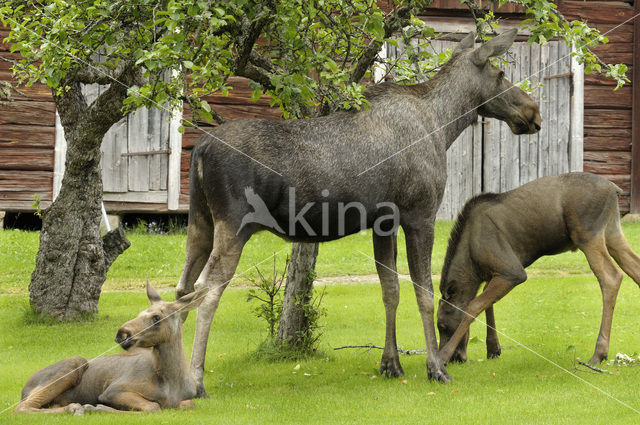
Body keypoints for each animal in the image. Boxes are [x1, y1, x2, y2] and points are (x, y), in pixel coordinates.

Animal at [15, 284, 205, 412]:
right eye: (139, 314)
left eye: (157, 317)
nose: (122, 333)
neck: (171, 380)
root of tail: (23, 390)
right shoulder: (112, 391)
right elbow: (153, 406)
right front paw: (98, 407)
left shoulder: (187, 399)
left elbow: (188, 403)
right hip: (75, 362)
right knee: (22, 408)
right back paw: (76, 408)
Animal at [176, 29, 540, 394]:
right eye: (501, 73)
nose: (533, 111)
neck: (443, 125)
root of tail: (201, 148)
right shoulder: (420, 214)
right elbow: (423, 293)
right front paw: (435, 367)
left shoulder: (384, 222)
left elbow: (390, 290)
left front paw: (390, 364)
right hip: (234, 224)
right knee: (206, 290)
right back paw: (196, 379)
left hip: (200, 221)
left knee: (183, 288)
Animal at [436, 172, 640, 364]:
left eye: (442, 325)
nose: (457, 358)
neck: (473, 268)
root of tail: (614, 189)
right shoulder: (495, 273)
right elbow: (487, 303)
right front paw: (493, 349)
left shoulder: (512, 271)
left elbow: (474, 305)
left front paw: (443, 356)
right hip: (611, 231)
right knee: (634, 267)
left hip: (587, 234)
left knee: (611, 277)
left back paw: (599, 353)